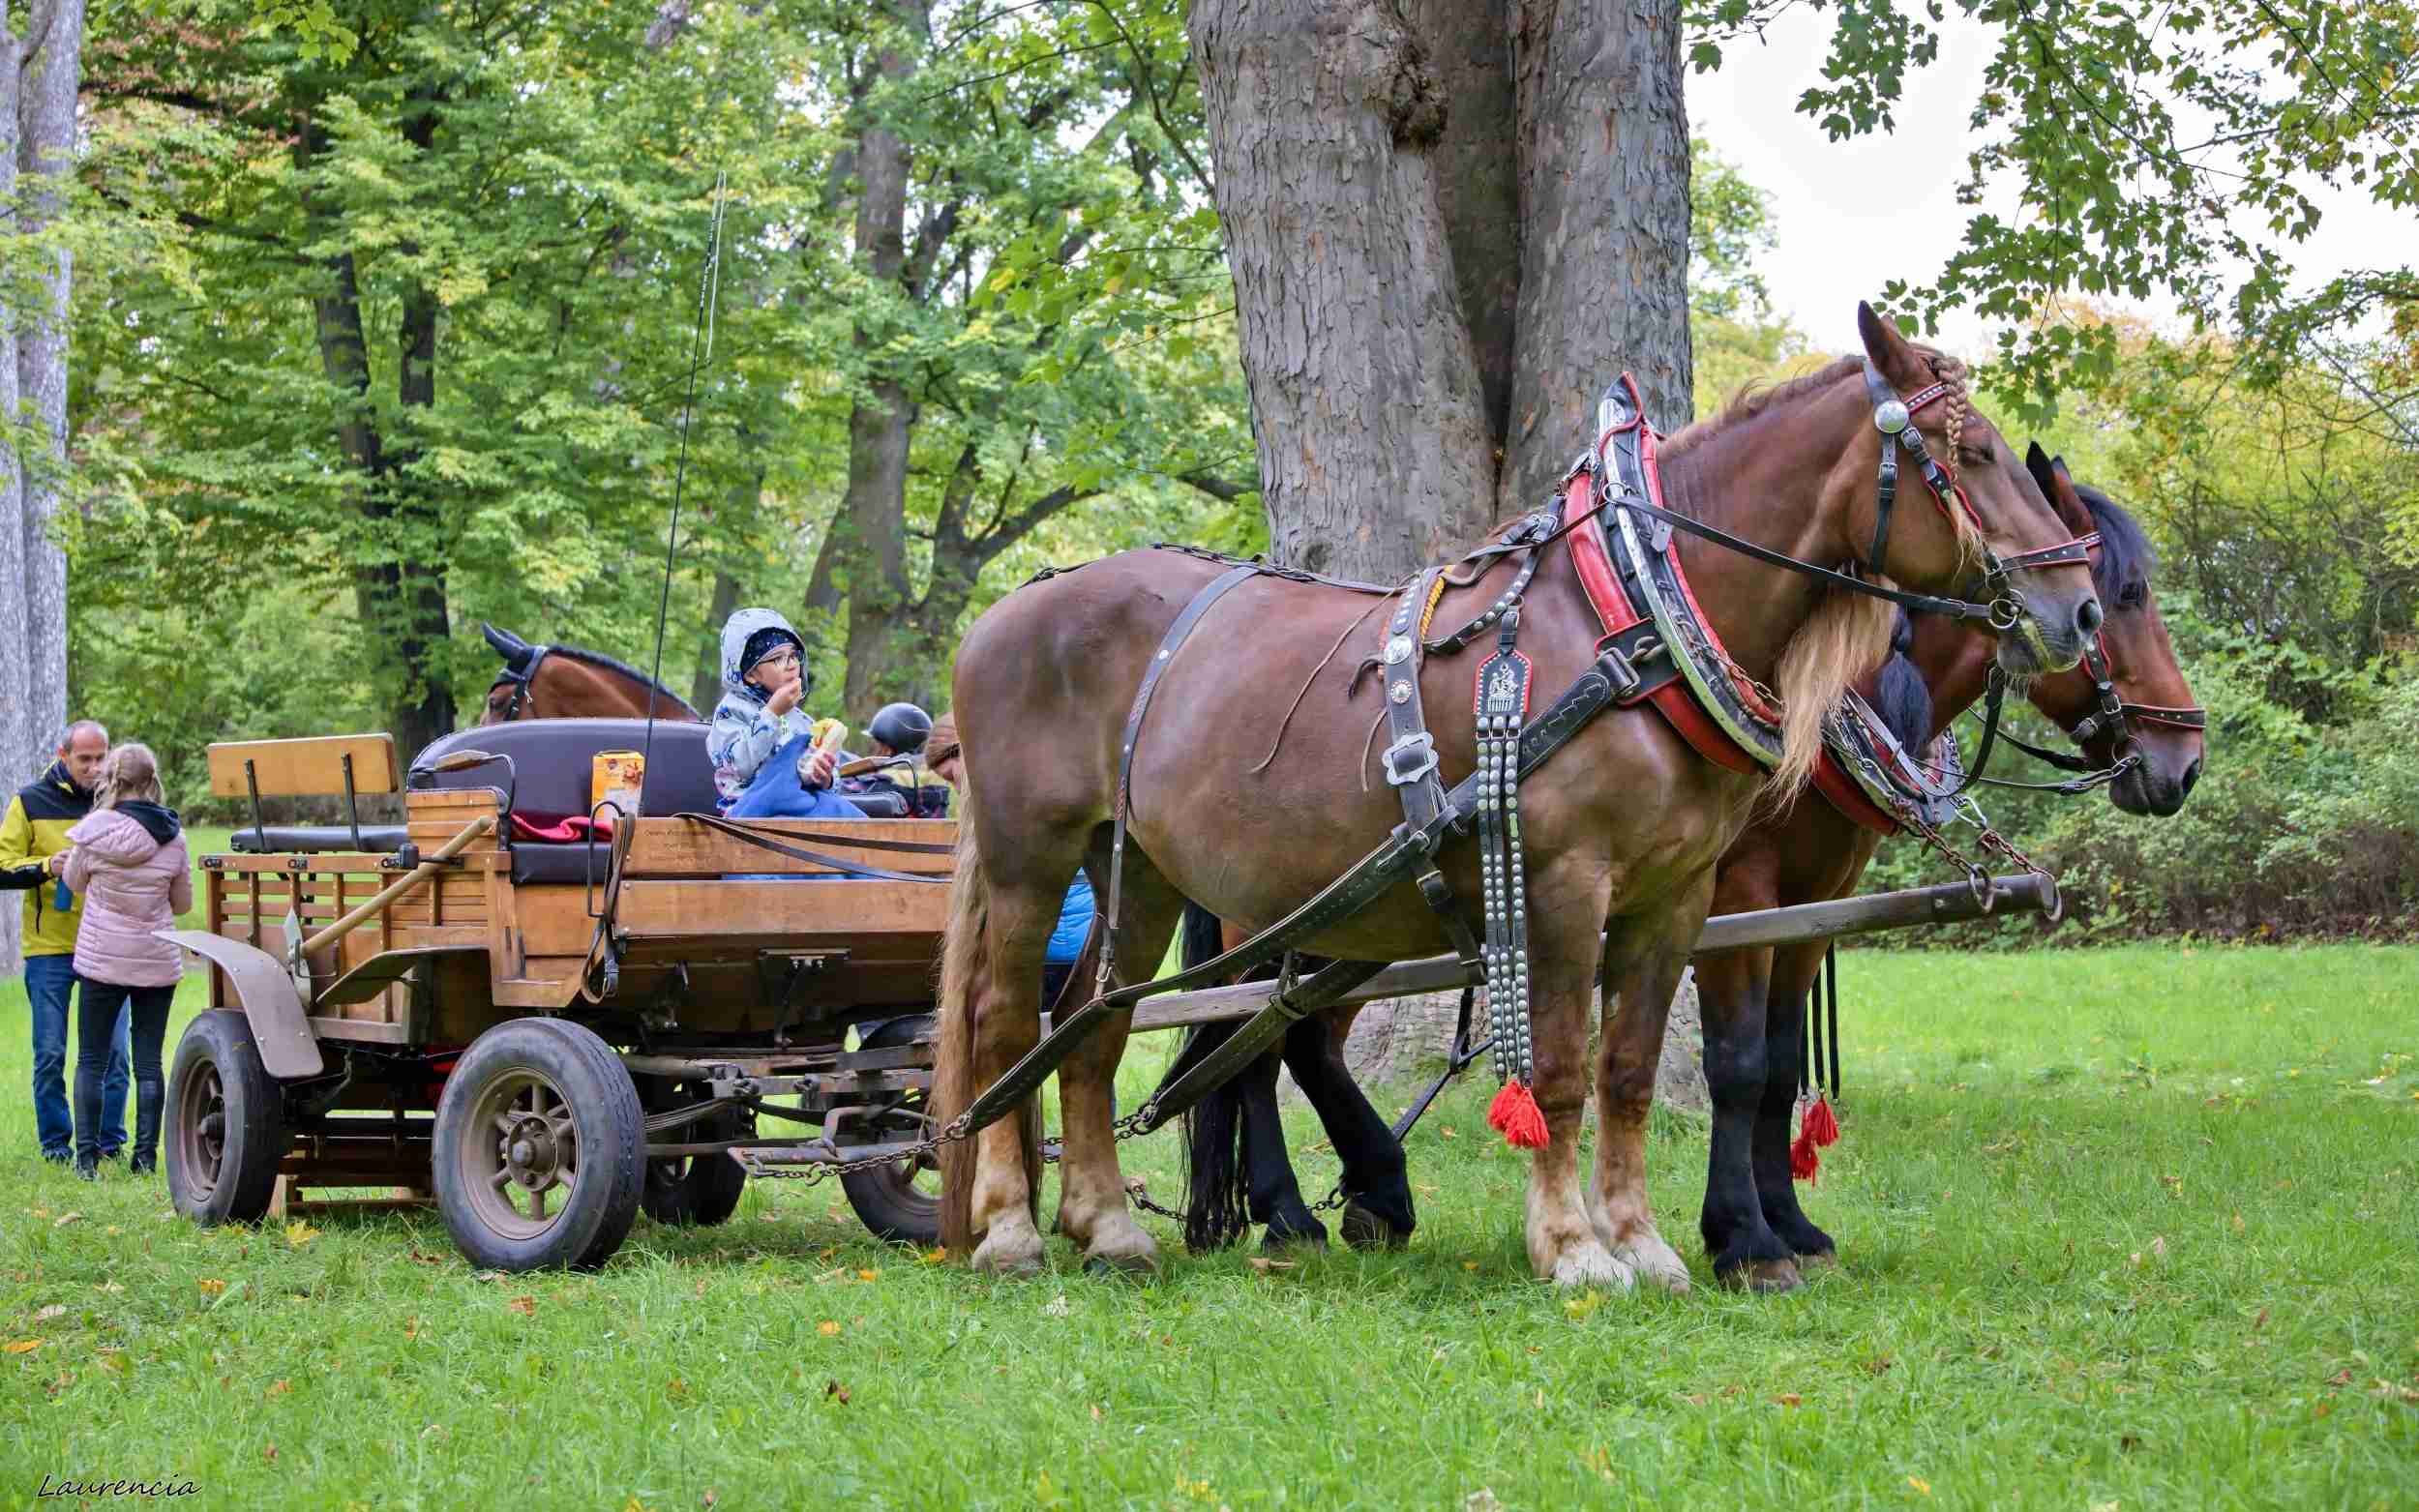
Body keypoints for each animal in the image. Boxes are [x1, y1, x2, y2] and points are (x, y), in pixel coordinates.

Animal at [934, 307, 2109, 1287]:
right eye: (1968, 453)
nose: (2079, 610)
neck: (1627, 613)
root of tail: (1005, 614)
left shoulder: (1677, 898)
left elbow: (1627, 1071)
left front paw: (1644, 1243)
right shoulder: (1562, 885)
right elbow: (1557, 1071)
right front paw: (1575, 1248)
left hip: (1135, 870)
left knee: (1090, 1027)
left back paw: (1108, 1228)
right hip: (1034, 858)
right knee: (1006, 1025)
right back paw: (1011, 1229)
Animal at [1171, 445, 2216, 1277]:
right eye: (2122, 599)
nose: (2183, 759)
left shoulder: (1809, 904)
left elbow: (1781, 1066)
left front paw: (1790, 1228)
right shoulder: (1735, 896)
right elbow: (1736, 1065)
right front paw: (1740, 1237)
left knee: (1288, 1042)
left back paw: (1361, 1199)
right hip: (1279, 911)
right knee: (1252, 1046)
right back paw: (1296, 1213)